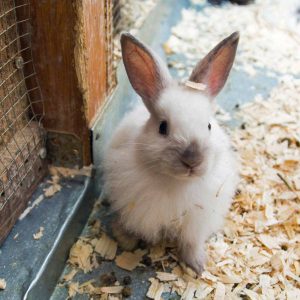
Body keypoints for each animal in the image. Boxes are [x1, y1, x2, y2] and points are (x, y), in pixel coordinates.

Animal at [104, 31, 240, 274]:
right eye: (163, 127)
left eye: (209, 126)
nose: (192, 160)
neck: (178, 183)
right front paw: (126, 242)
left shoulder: (196, 223)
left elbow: (191, 243)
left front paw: (198, 266)